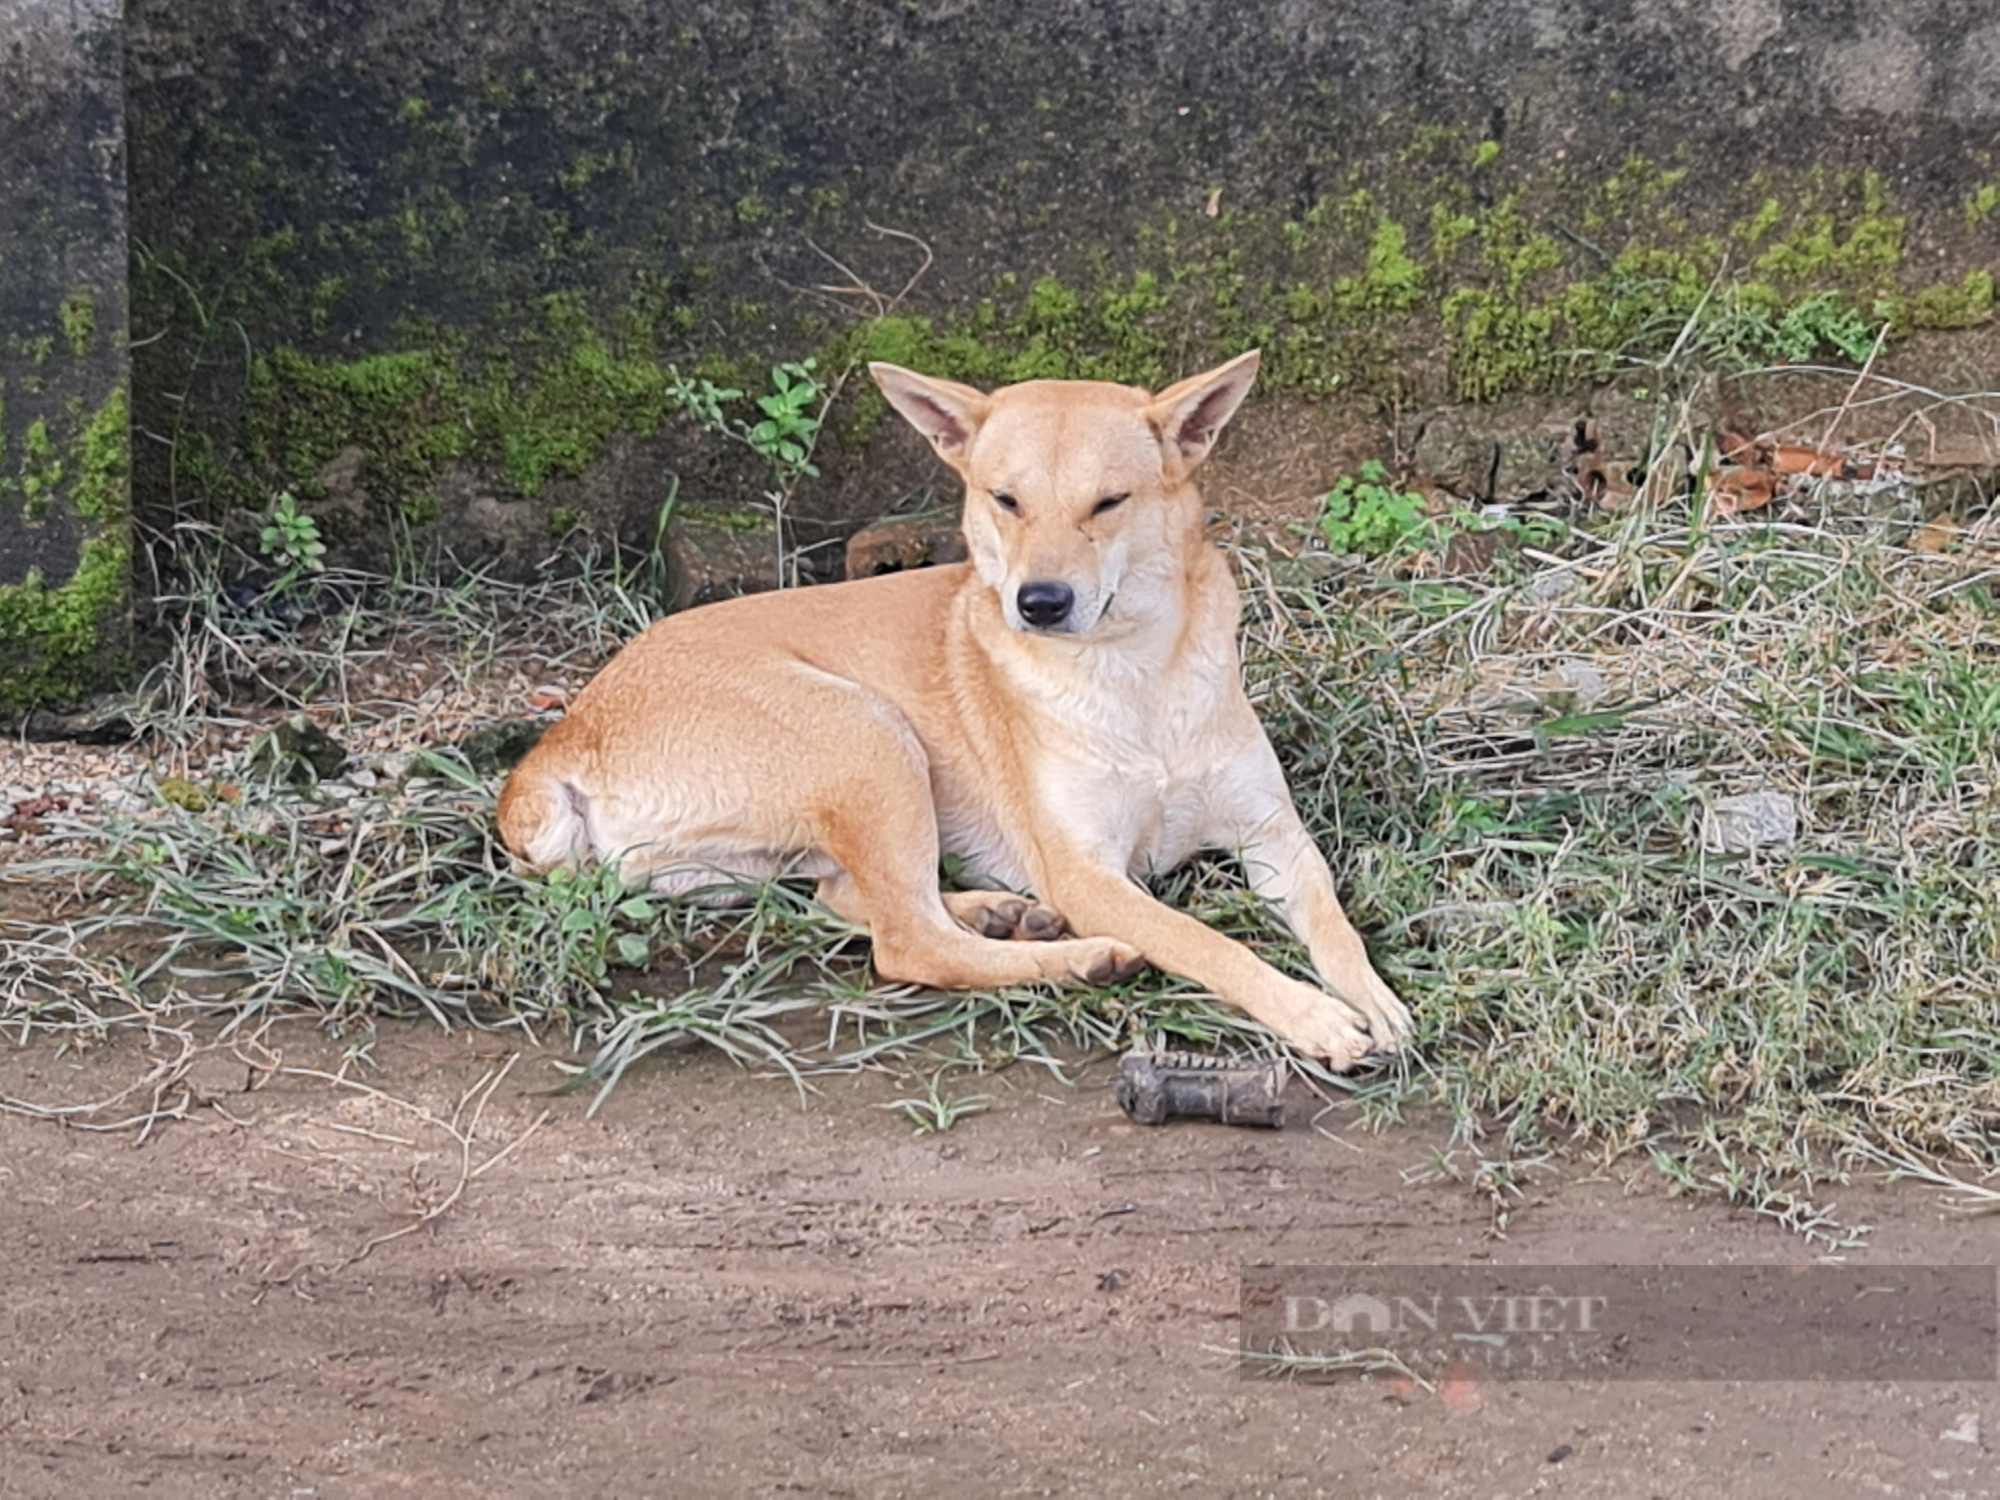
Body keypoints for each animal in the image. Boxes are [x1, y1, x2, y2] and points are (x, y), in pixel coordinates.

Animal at [496, 352, 1408, 1064]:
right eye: (1005, 500)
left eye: (1109, 502)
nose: (1039, 602)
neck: (1134, 675)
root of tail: (564, 737)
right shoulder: (1089, 873)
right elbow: (1206, 942)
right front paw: (1311, 1013)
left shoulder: (1274, 837)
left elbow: (1333, 923)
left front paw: (1375, 998)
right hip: (869, 734)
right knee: (908, 942)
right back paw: (1076, 956)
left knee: (853, 901)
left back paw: (1002, 913)